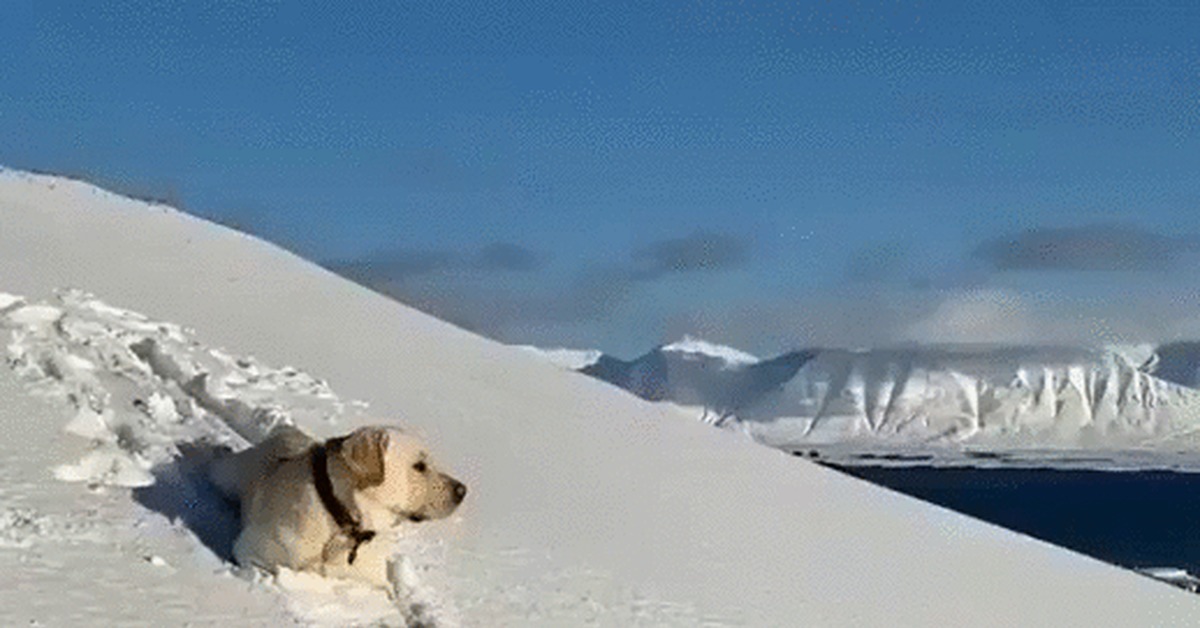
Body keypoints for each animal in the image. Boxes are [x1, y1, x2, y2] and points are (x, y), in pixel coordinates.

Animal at [208, 425, 465, 593]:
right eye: (419, 466)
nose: (463, 491)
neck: (345, 522)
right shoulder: (250, 549)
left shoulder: (376, 579)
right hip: (226, 477)